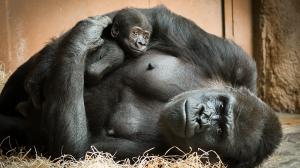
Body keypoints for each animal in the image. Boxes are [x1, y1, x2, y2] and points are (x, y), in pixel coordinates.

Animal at [0, 5, 282, 167]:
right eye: (221, 106)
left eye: (221, 130)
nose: (203, 116)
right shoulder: (234, 61)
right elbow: (158, 18)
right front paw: (86, 34)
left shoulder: (163, 154)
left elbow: (76, 150)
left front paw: (82, 41)